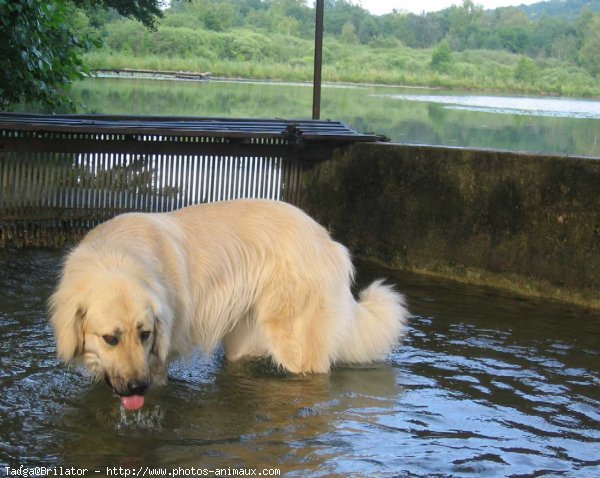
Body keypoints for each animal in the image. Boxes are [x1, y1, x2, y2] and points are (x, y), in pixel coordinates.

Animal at [49, 200, 410, 408]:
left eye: (145, 334)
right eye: (110, 338)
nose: (139, 387)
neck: (115, 257)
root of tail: (329, 241)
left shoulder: (156, 365)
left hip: (294, 343)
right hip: (242, 339)